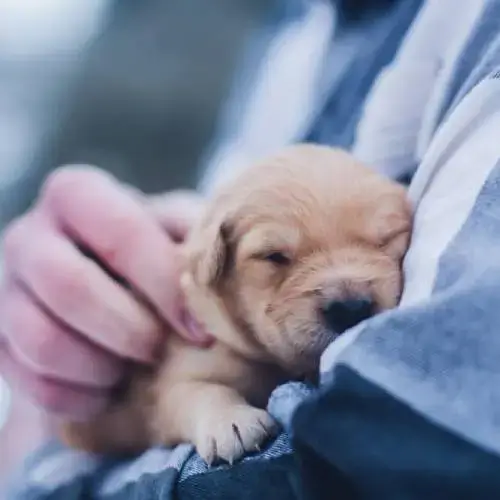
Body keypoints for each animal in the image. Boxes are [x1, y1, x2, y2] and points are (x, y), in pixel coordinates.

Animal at [62, 144, 412, 464]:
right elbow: (198, 391)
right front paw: (230, 422)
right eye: (274, 256)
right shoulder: (176, 375)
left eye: (385, 239)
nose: (350, 308)